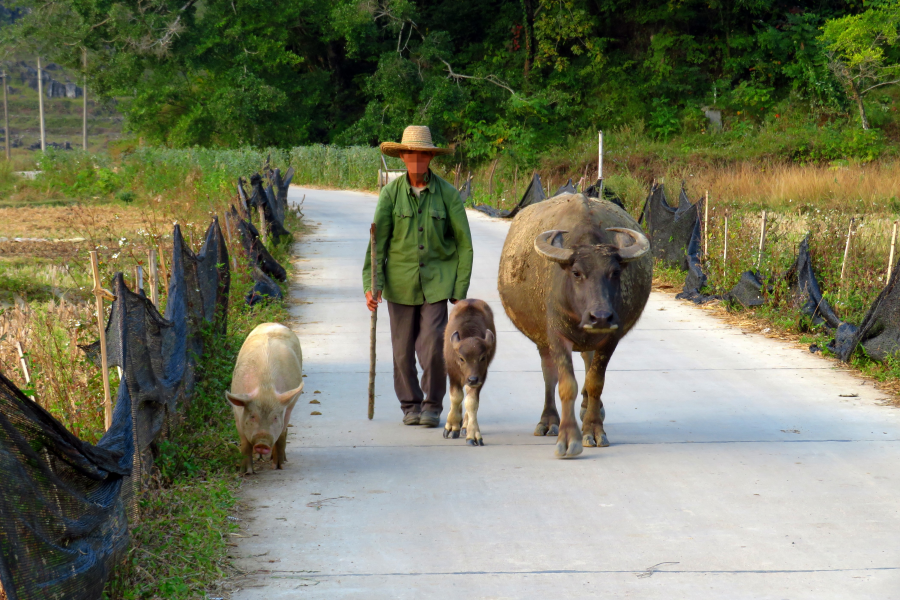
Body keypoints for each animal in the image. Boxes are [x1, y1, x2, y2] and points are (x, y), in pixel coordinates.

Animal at [444, 300, 500, 446]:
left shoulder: (481, 377)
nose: (473, 379)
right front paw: (452, 426)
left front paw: (473, 434)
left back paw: (464, 426)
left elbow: (471, 402)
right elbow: (456, 397)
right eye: (461, 358)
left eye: (483, 357)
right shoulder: (452, 374)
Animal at [500, 195, 648, 458]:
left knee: (588, 364)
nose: (600, 317)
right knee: (549, 374)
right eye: (577, 272)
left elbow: (595, 382)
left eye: (615, 272)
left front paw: (594, 431)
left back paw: (590, 407)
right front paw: (568, 439)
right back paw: (548, 421)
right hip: (542, 340)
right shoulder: (556, 335)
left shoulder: (610, 338)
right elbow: (566, 384)